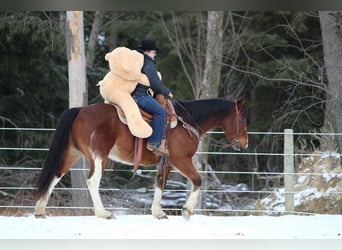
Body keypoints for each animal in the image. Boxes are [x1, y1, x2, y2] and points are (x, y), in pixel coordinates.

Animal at [34, 98, 247, 220]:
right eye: (243, 119)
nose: (245, 143)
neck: (186, 121)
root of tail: (79, 109)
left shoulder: (166, 163)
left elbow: (160, 184)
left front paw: (158, 212)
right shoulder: (181, 160)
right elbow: (197, 180)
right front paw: (186, 210)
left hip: (71, 153)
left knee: (55, 176)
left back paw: (40, 210)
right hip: (99, 157)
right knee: (92, 181)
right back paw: (103, 213)